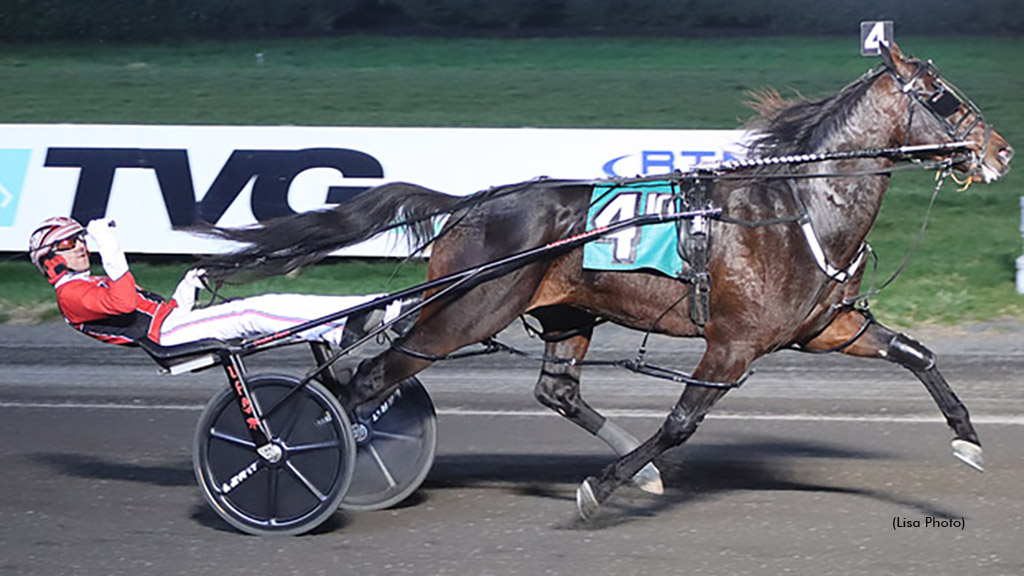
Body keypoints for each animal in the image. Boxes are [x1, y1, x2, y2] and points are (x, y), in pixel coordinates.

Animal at [197, 44, 1007, 518]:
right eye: (942, 96)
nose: (999, 151)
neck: (796, 206)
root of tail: (474, 202)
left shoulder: (827, 328)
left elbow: (918, 355)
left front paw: (969, 442)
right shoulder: (733, 346)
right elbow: (681, 422)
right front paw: (601, 487)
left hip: (564, 313)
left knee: (552, 388)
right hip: (465, 311)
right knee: (368, 378)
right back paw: (309, 459)